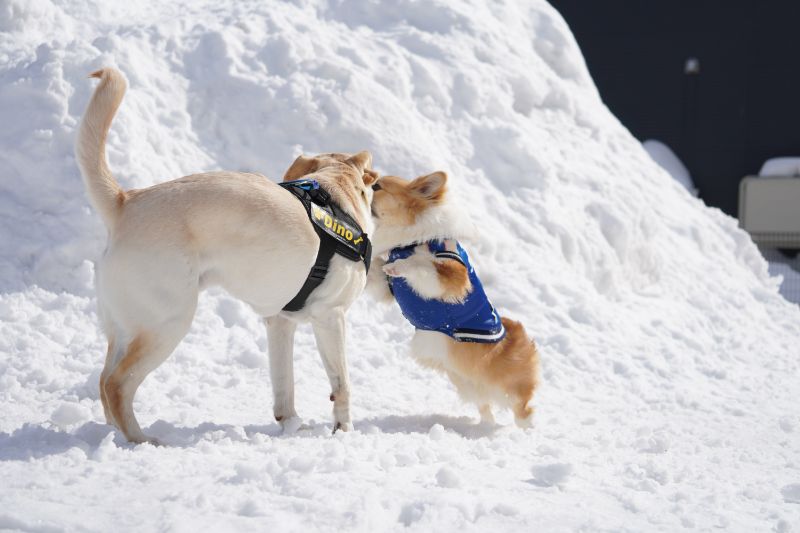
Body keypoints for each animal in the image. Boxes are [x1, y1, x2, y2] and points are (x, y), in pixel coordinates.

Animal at [75, 66, 376, 442]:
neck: (334, 194)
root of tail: (126, 202)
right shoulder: (331, 317)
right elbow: (342, 384)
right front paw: (343, 430)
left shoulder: (279, 322)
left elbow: (284, 384)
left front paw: (291, 425)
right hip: (168, 323)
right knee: (117, 385)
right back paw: (142, 440)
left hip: (125, 325)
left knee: (104, 380)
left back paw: (114, 435)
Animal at [368, 172, 536, 426]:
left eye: (377, 186)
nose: (363, 181)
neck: (411, 240)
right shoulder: (385, 286)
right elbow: (378, 269)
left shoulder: (451, 277)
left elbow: (420, 264)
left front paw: (399, 266)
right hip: (466, 382)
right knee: (486, 407)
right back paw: (485, 426)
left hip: (510, 389)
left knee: (523, 409)